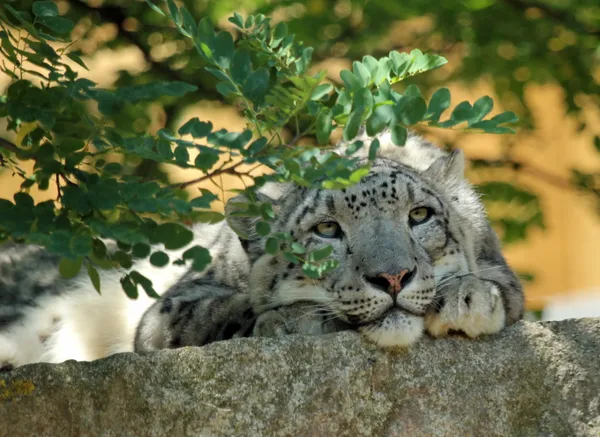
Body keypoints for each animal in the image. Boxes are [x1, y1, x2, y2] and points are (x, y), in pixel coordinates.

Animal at [0, 133, 524, 368]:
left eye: (419, 215)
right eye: (327, 228)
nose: (392, 277)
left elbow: (501, 286)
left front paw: (467, 297)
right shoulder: (166, 311)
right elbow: (220, 311)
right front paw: (292, 319)